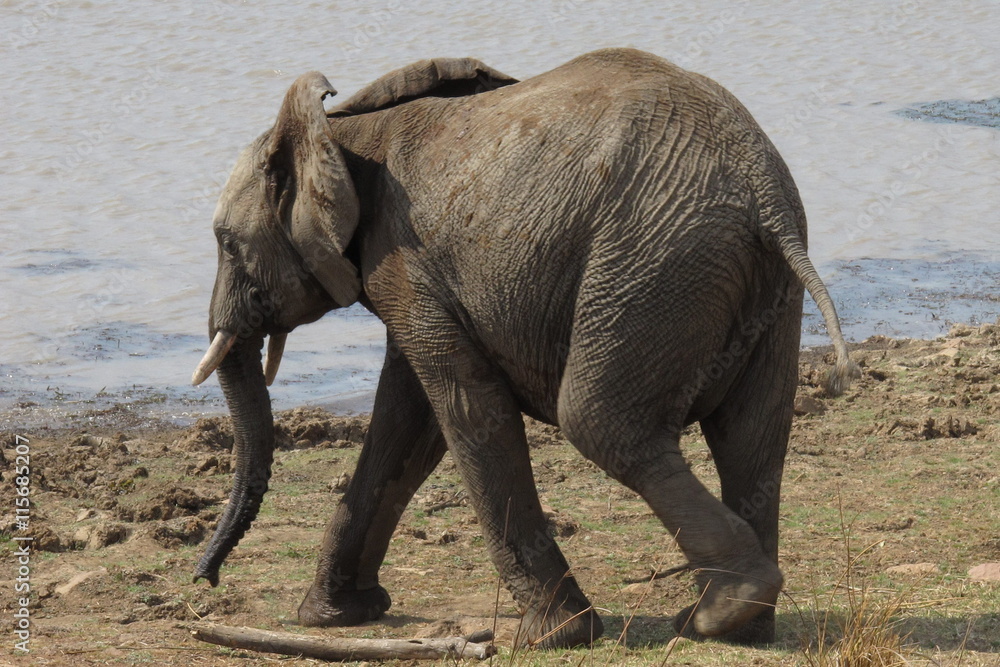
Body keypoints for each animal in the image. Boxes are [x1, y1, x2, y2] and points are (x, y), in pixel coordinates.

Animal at [191, 48, 858, 648]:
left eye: (225, 243)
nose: (206, 580)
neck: (336, 129)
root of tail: (762, 192)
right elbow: (408, 424)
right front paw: (334, 616)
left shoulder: (404, 259)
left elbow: (464, 409)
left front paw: (557, 637)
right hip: (757, 286)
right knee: (752, 438)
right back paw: (741, 626)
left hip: (652, 266)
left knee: (601, 424)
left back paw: (724, 611)